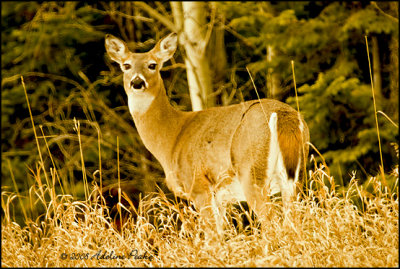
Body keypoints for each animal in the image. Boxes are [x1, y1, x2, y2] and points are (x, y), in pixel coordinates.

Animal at [104, 31, 310, 232]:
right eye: (126, 65)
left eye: (152, 65)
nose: (137, 82)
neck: (172, 137)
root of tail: (285, 116)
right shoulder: (220, 197)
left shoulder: (198, 185)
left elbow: (212, 237)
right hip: (295, 177)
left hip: (251, 171)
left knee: (273, 224)